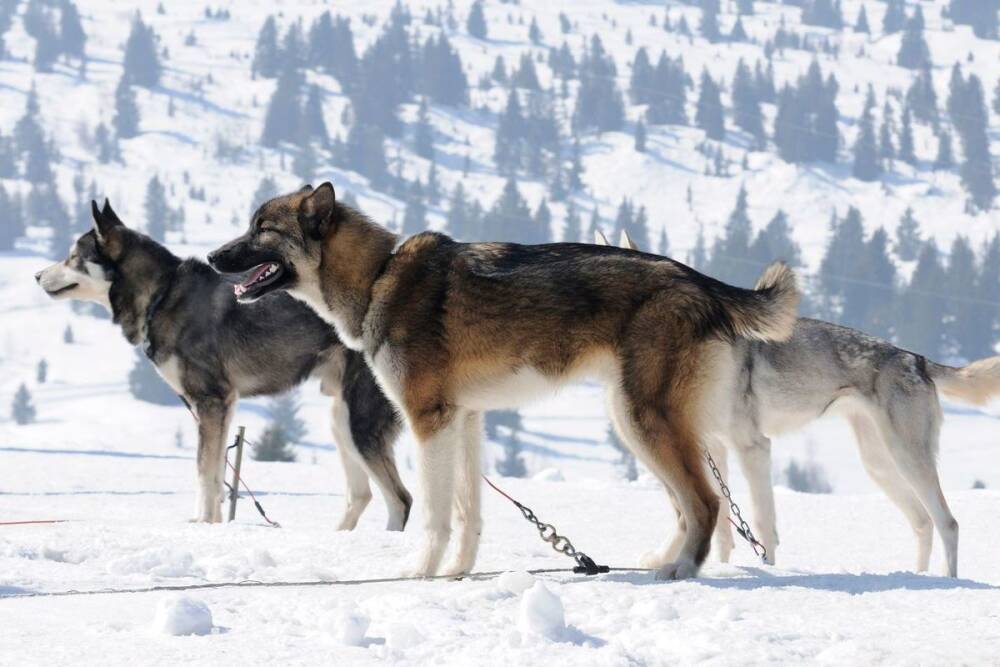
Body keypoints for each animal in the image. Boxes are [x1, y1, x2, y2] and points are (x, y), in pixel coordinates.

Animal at [36, 201, 410, 528]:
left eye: (73, 257)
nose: (37, 275)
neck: (161, 295)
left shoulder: (211, 402)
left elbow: (203, 471)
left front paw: (203, 523)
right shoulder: (221, 408)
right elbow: (216, 476)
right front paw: (212, 523)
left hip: (360, 424)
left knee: (400, 500)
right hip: (340, 421)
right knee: (361, 495)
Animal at [209, 183, 796, 580]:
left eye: (262, 229)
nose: (213, 256)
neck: (379, 277)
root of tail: (699, 280)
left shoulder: (430, 424)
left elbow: (434, 514)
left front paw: (419, 573)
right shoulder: (465, 422)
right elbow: (468, 512)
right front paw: (456, 573)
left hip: (643, 420)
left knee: (706, 503)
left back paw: (680, 572)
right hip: (635, 423)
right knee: (686, 505)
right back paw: (661, 561)